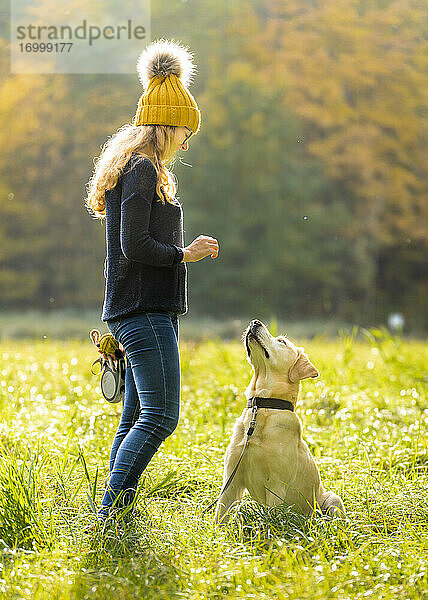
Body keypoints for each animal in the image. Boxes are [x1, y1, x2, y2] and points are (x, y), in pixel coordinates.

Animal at [214, 322, 344, 524]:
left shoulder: (276, 484)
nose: (254, 322)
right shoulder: (231, 479)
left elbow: (271, 517)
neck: (262, 406)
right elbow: (220, 515)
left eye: (282, 341)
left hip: (332, 499)